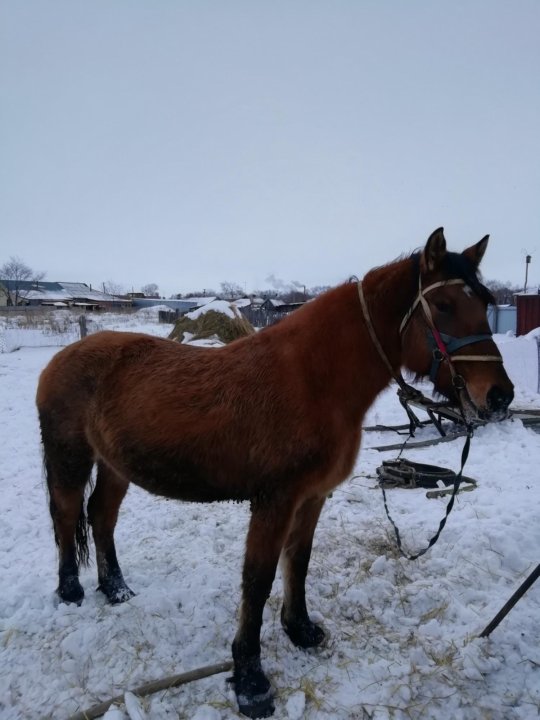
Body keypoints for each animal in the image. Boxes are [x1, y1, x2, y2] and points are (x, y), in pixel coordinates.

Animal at [38, 229, 516, 716]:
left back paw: (115, 589)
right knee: (66, 513)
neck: (313, 381)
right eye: (444, 306)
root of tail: (63, 357)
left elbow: (298, 562)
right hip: (69, 457)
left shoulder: (312, 496)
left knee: (101, 516)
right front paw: (250, 679)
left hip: (115, 465)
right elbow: (258, 579)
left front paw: (299, 629)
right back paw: (70, 591)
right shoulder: (275, 502)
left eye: (484, 301)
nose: (499, 395)